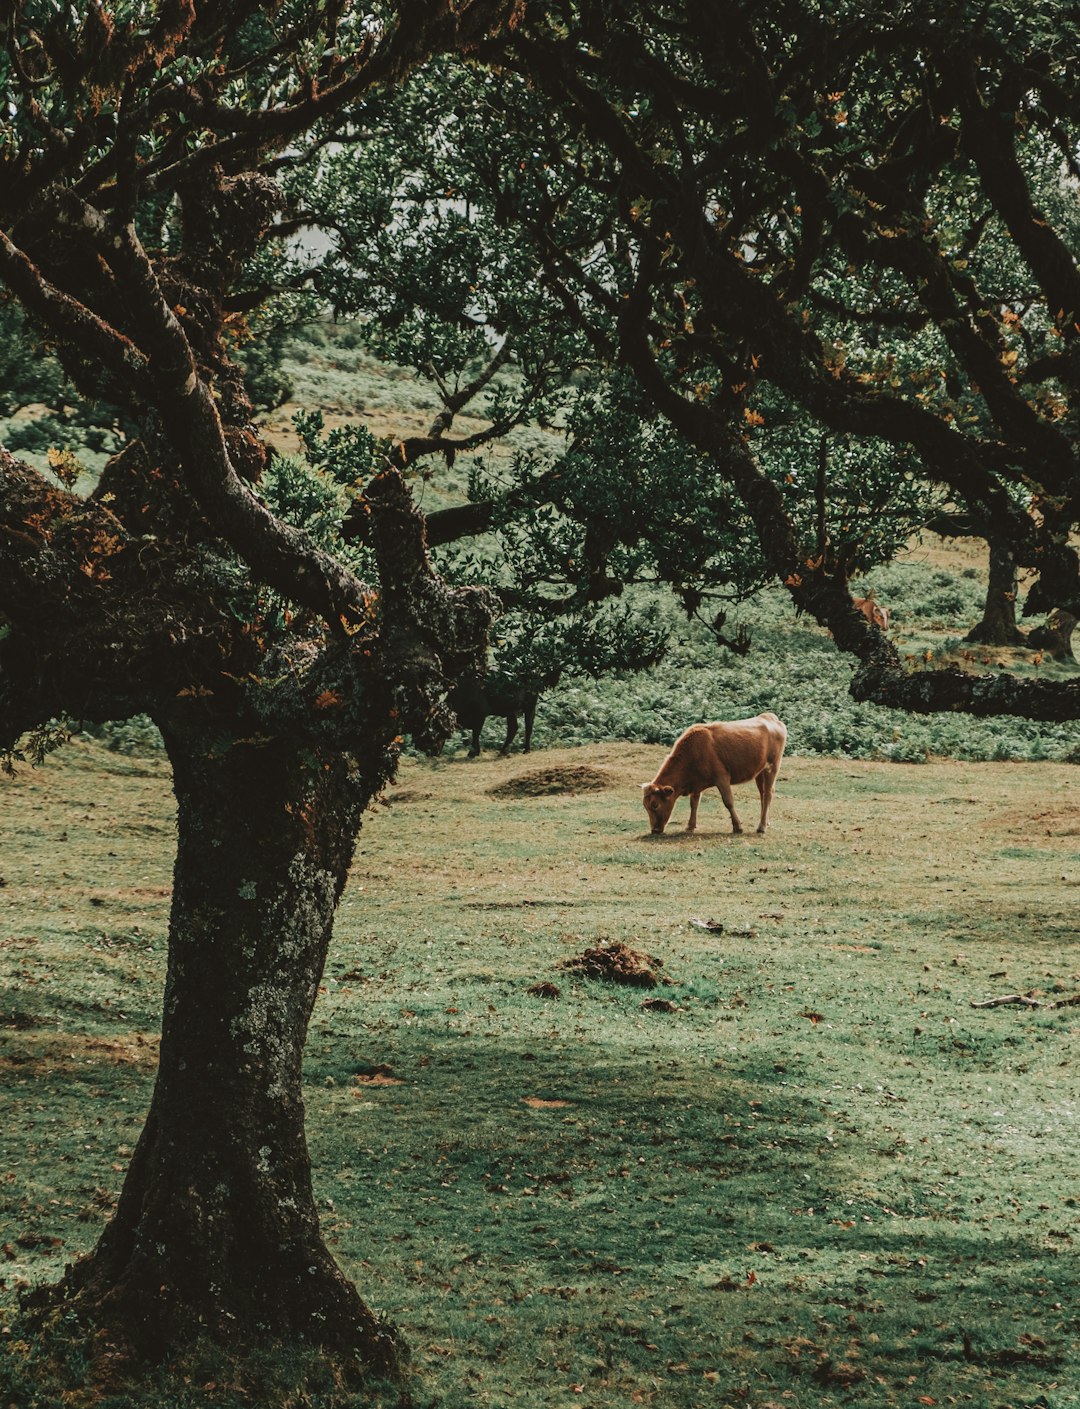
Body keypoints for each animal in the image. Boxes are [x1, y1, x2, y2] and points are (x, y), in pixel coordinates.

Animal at [636, 715, 788, 834]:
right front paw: (690, 826)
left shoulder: (722, 778)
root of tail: (770, 717)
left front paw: (737, 826)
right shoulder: (696, 784)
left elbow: (728, 802)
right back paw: (765, 822)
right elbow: (694, 803)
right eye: (645, 805)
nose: (654, 830)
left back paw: (761, 827)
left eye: (655, 805)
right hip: (760, 773)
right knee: (763, 794)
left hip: (772, 767)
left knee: (768, 794)